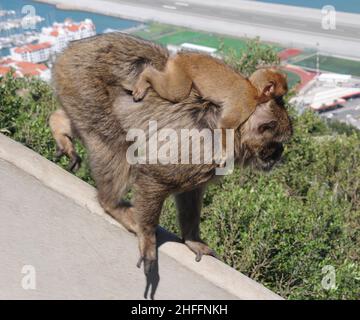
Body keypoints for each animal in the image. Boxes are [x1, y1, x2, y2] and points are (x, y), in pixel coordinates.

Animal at [132, 53, 286, 162]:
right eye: (280, 96)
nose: (282, 101)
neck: (254, 89)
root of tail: (181, 55)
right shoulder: (246, 103)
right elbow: (225, 125)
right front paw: (226, 154)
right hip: (180, 70)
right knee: (177, 93)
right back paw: (146, 74)